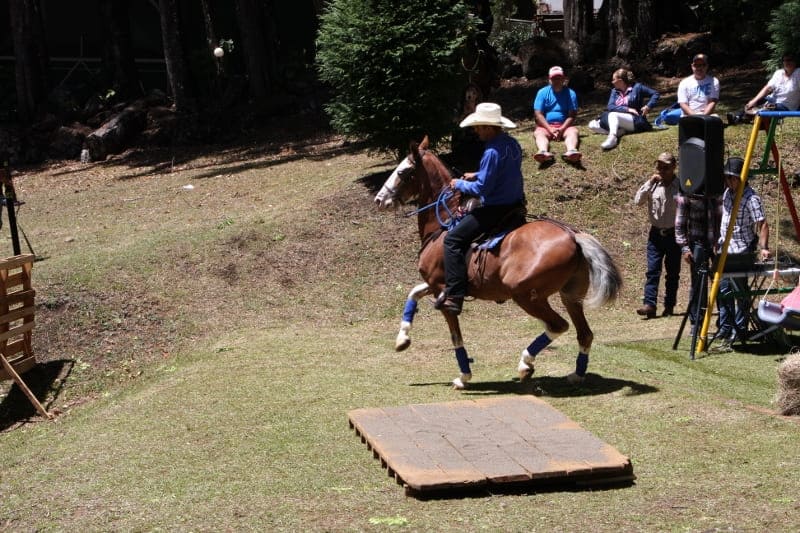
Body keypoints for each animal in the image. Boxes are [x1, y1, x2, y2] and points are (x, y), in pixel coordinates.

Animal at [376, 137, 624, 386]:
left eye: (403, 171)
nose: (380, 199)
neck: (444, 224)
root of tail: (573, 235)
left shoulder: (441, 290)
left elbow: (456, 336)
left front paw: (464, 376)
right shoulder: (441, 285)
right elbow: (413, 293)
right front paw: (402, 339)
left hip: (525, 295)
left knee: (558, 325)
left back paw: (525, 364)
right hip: (570, 296)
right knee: (584, 333)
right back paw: (576, 374)